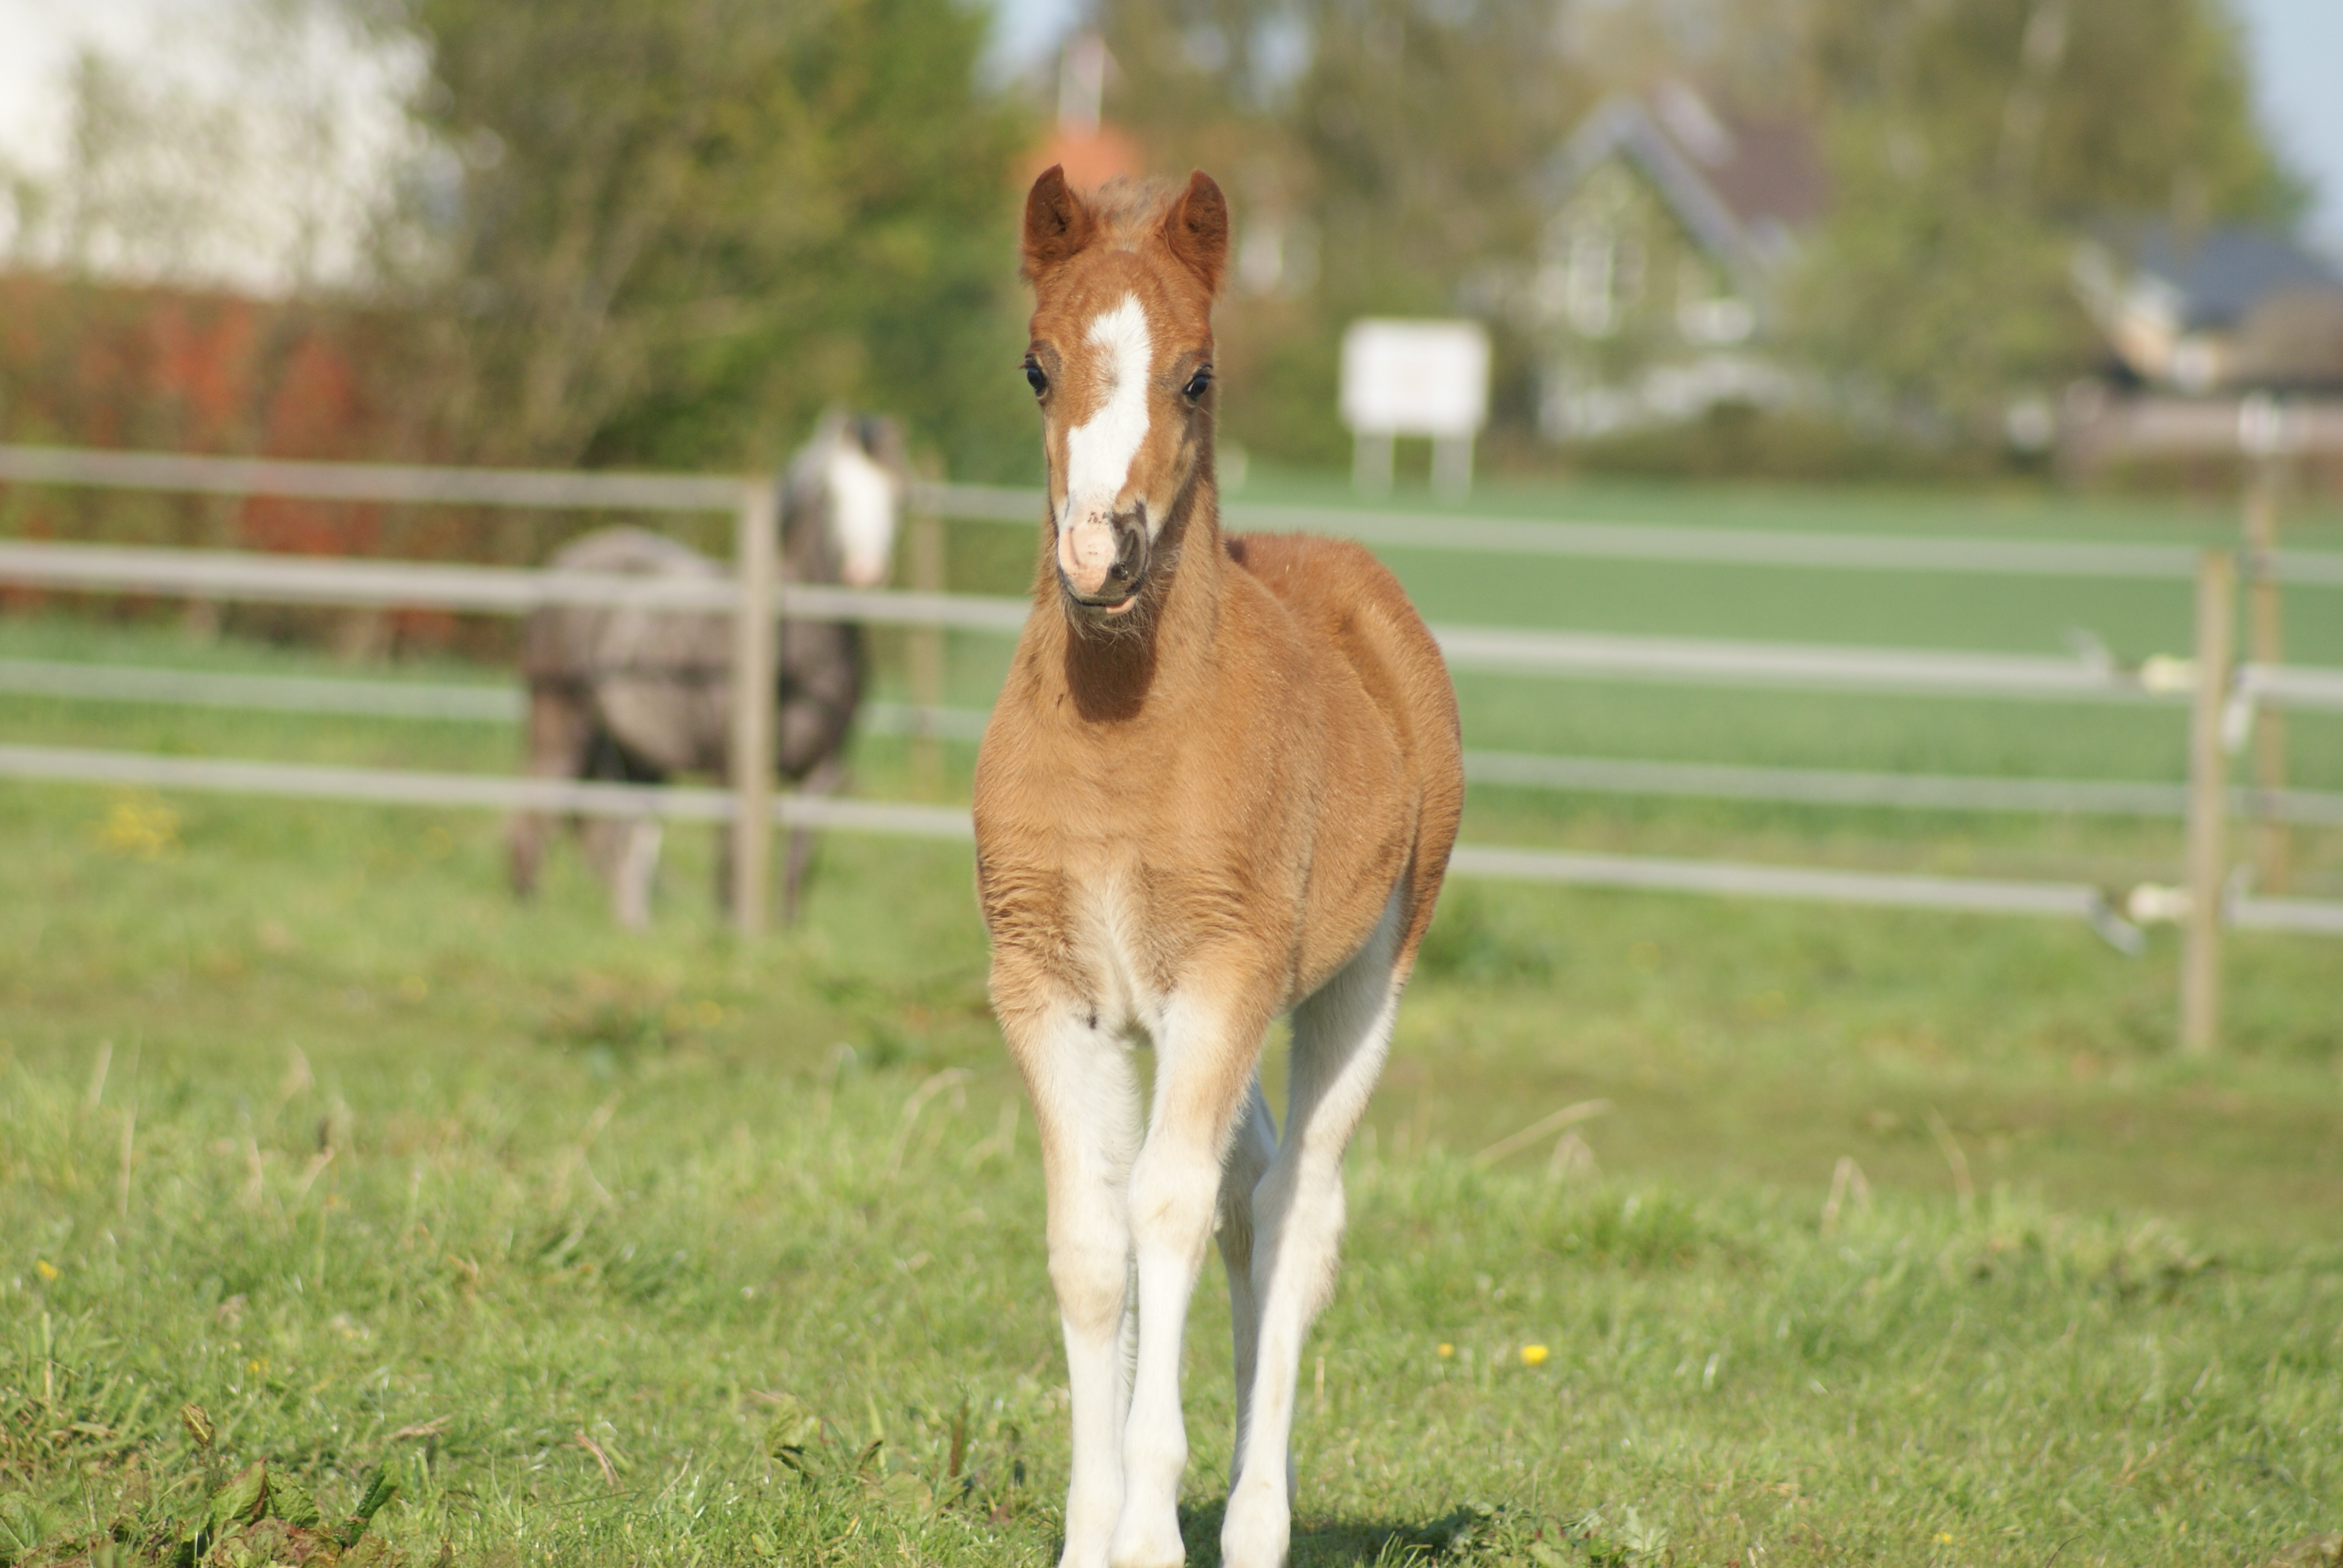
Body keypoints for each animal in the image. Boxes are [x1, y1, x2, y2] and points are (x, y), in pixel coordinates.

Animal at [506, 410, 909, 927]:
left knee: (624, 839)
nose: (865, 572)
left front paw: (788, 932)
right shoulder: (732, 766)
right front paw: (731, 930)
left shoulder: (824, 771)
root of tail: (566, 563)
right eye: (830, 496)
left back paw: (635, 926)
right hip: (561, 728)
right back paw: (527, 914)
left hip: (638, 755)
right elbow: (731, 857)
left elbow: (800, 859)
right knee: (534, 821)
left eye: (894, 494)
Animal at [971, 168, 1464, 1568]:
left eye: (1197, 375)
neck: (1124, 735)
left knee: (1294, 1211)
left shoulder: (1225, 979)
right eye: (1036, 366)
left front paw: (1149, 1529)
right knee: (1249, 1199)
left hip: (1358, 981)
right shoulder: (1046, 987)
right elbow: (1091, 1239)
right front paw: (1091, 1538)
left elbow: (1165, 1214)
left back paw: (1253, 1521)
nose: (1101, 555)